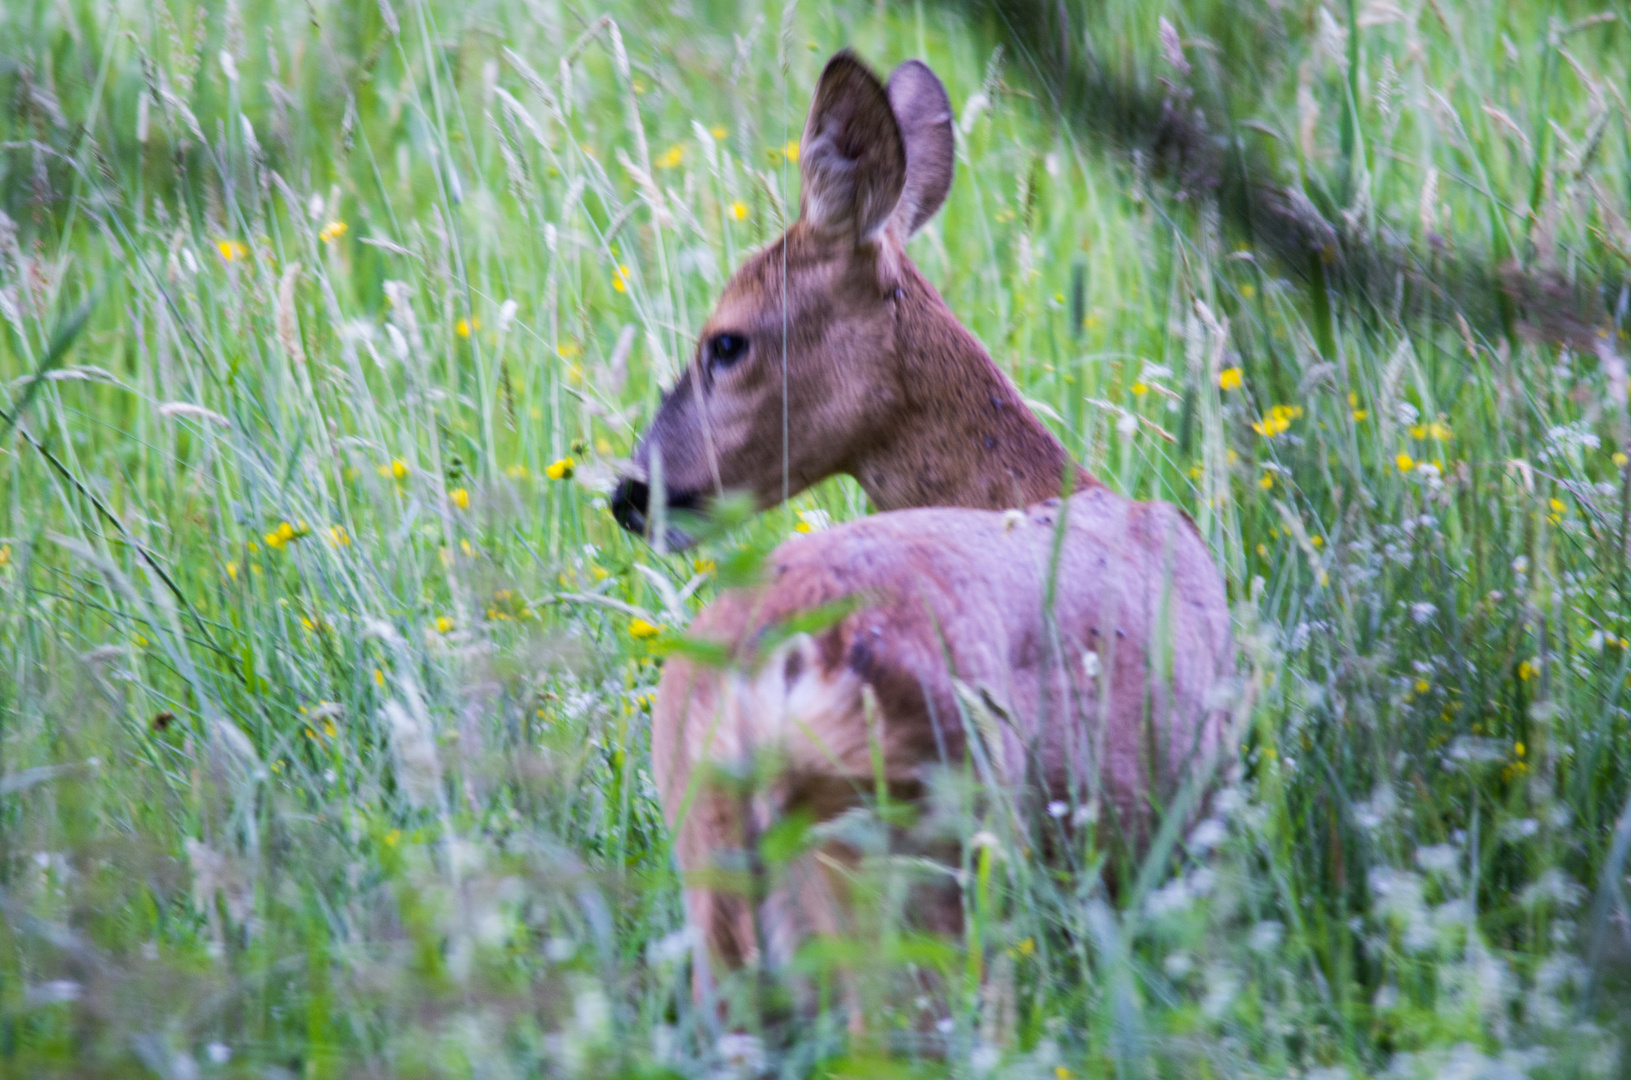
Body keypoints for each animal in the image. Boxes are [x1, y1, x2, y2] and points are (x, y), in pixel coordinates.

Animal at [613, 48, 1233, 1018]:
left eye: (726, 342)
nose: (633, 493)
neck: (1043, 486)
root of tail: (774, 679)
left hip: (717, 894)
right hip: (931, 884)